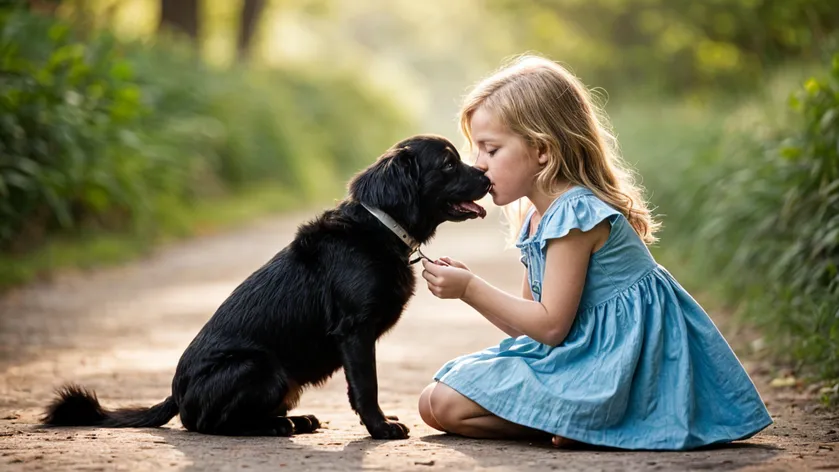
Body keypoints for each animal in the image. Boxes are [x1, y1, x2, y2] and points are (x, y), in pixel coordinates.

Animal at [41, 135, 492, 440]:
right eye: (448, 164)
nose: (488, 178)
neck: (378, 227)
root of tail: (176, 394)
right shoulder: (355, 332)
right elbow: (366, 386)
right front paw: (381, 428)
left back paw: (293, 420)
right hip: (263, 367)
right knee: (208, 424)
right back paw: (277, 427)